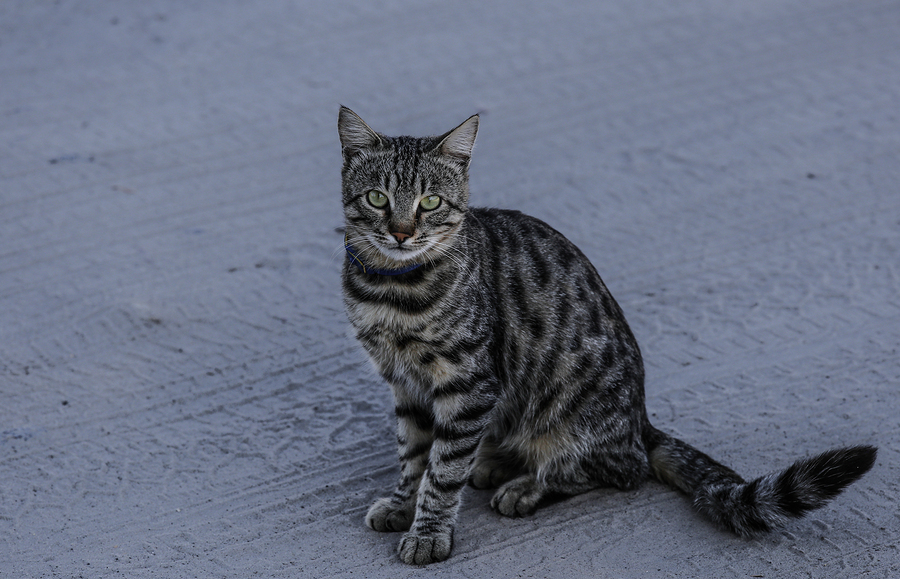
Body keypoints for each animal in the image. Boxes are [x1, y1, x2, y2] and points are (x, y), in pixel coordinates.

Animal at [334, 105, 876, 568]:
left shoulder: (469, 383)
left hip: (568, 411)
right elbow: (413, 454)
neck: (394, 291)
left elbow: (442, 470)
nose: (402, 233)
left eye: (430, 202)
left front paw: (429, 533)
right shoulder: (406, 384)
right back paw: (494, 461)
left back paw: (527, 485)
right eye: (378, 198)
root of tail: (640, 418)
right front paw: (404, 504)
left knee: (619, 468)